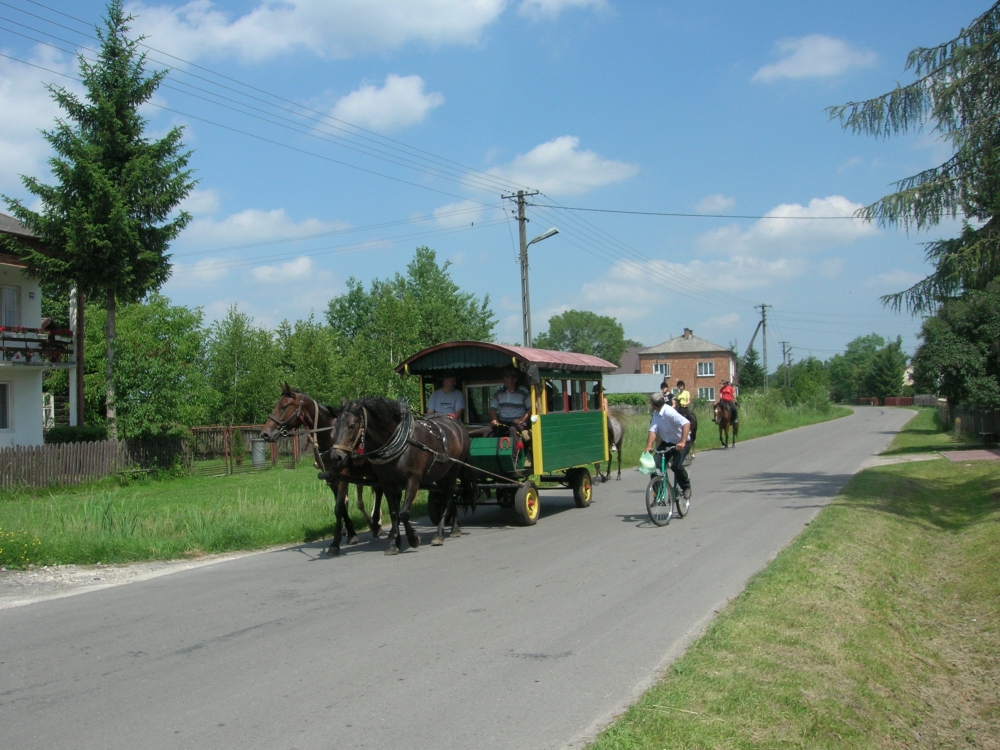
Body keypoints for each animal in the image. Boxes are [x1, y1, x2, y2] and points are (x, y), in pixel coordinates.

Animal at [260, 384, 384, 556]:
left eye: (283, 406)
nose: (265, 433)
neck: (330, 435)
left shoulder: (343, 473)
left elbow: (340, 506)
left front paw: (338, 541)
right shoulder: (331, 478)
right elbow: (340, 506)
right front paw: (350, 533)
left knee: (378, 492)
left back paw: (376, 524)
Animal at [325, 397, 471, 555]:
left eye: (351, 426)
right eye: (335, 426)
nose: (336, 457)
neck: (400, 442)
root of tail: (457, 424)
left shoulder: (413, 479)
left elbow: (405, 513)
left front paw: (413, 538)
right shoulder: (386, 483)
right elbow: (394, 512)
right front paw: (393, 543)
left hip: (453, 470)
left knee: (449, 498)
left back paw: (440, 533)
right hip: (440, 474)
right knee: (448, 496)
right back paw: (454, 528)